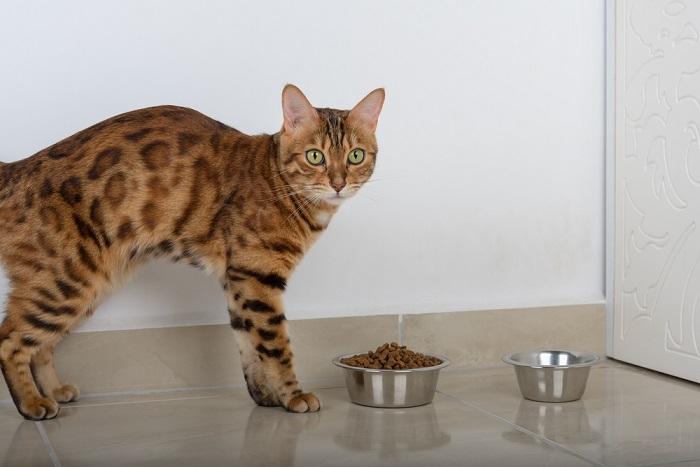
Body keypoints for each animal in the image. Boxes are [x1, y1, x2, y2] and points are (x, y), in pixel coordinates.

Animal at [0, 84, 382, 420]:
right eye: (315, 156)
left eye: (356, 156)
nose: (338, 183)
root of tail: (17, 167)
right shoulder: (258, 277)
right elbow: (275, 346)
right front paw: (293, 395)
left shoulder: (239, 280)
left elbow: (248, 344)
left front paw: (264, 395)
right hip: (67, 281)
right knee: (9, 340)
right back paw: (32, 404)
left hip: (88, 286)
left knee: (41, 345)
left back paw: (54, 390)